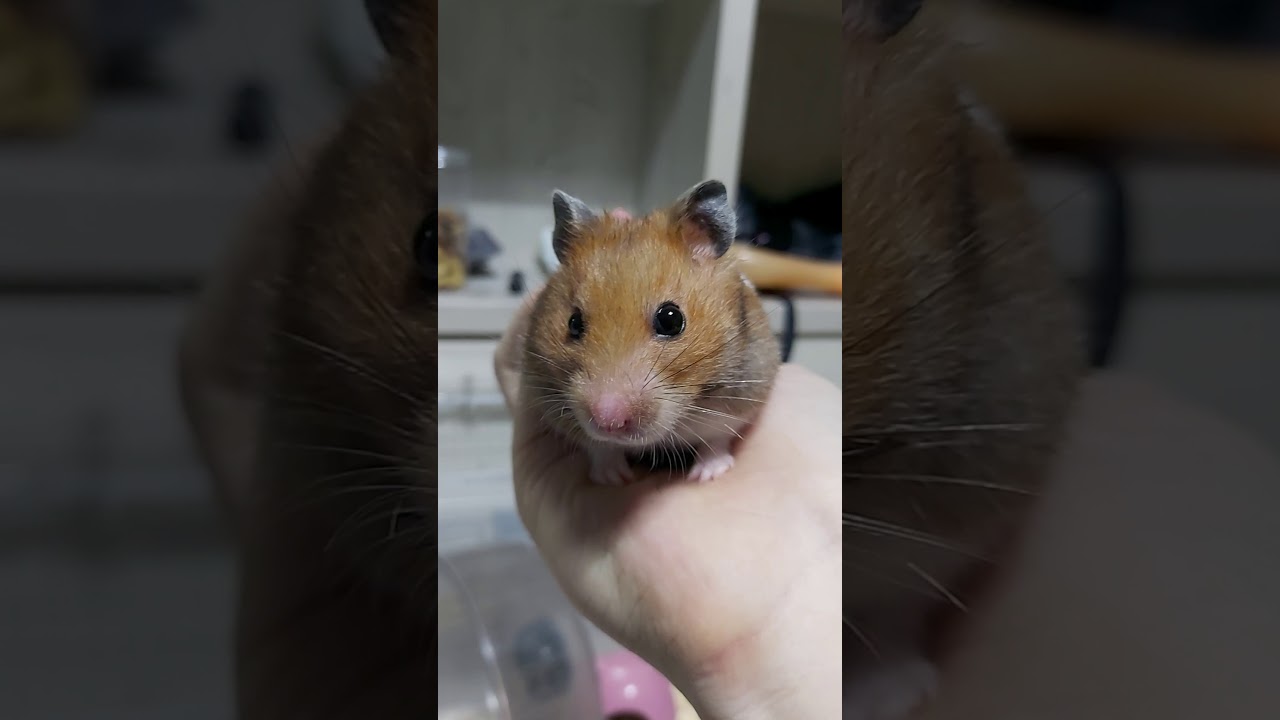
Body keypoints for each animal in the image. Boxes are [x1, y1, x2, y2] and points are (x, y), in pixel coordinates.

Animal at [521, 180, 782, 486]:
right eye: (573, 323)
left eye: (671, 320)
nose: (608, 422)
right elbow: (599, 447)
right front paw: (613, 477)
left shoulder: (742, 398)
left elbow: (717, 438)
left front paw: (707, 475)